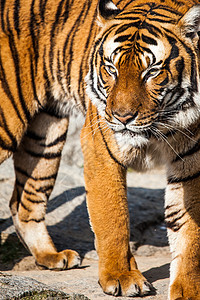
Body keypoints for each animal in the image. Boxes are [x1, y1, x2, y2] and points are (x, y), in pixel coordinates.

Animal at [0, 0, 200, 298]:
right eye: (111, 69)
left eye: (152, 72)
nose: (122, 117)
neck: (166, 123)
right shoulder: (100, 148)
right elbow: (112, 218)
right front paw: (122, 277)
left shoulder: (193, 161)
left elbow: (188, 231)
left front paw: (188, 289)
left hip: (46, 136)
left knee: (24, 200)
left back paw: (52, 256)